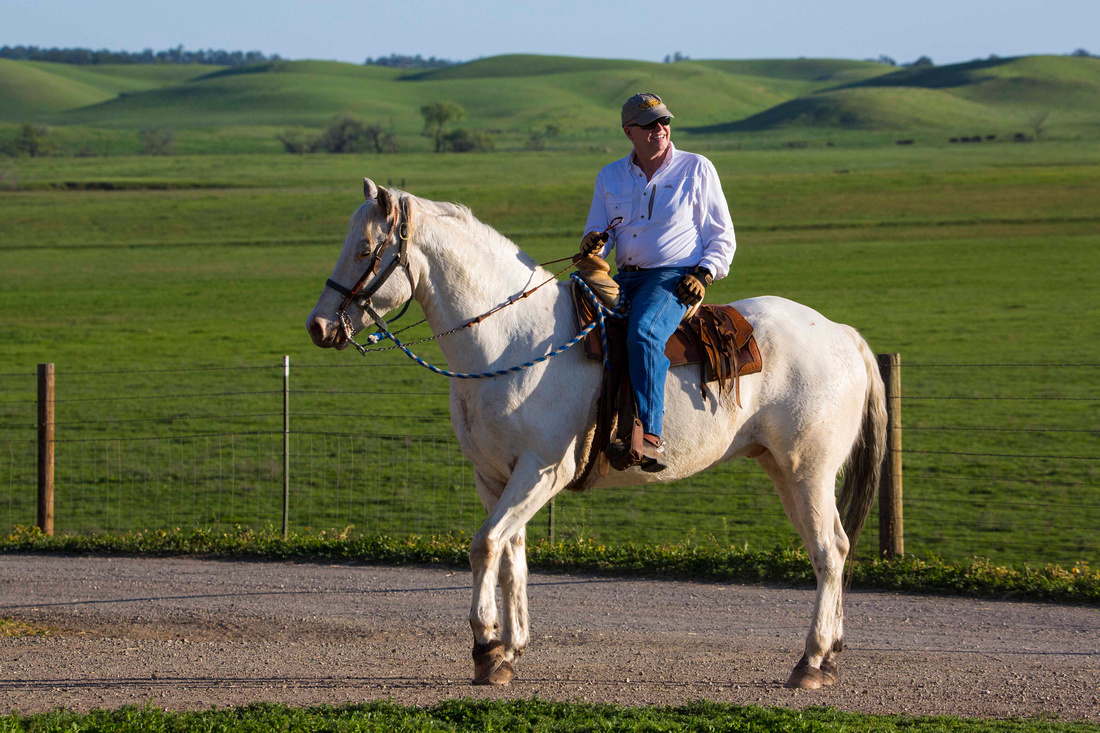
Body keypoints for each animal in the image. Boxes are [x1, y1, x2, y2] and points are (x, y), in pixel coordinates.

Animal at [305, 179, 888, 686]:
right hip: (783, 470)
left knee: (830, 550)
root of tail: (842, 334)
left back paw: (811, 662)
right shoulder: (494, 477)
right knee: (831, 547)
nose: (318, 326)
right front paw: (510, 649)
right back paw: (829, 654)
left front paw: (485, 646)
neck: (512, 341)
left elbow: (486, 546)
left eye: (365, 249)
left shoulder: (542, 471)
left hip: (808, 471)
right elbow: (512, 555)